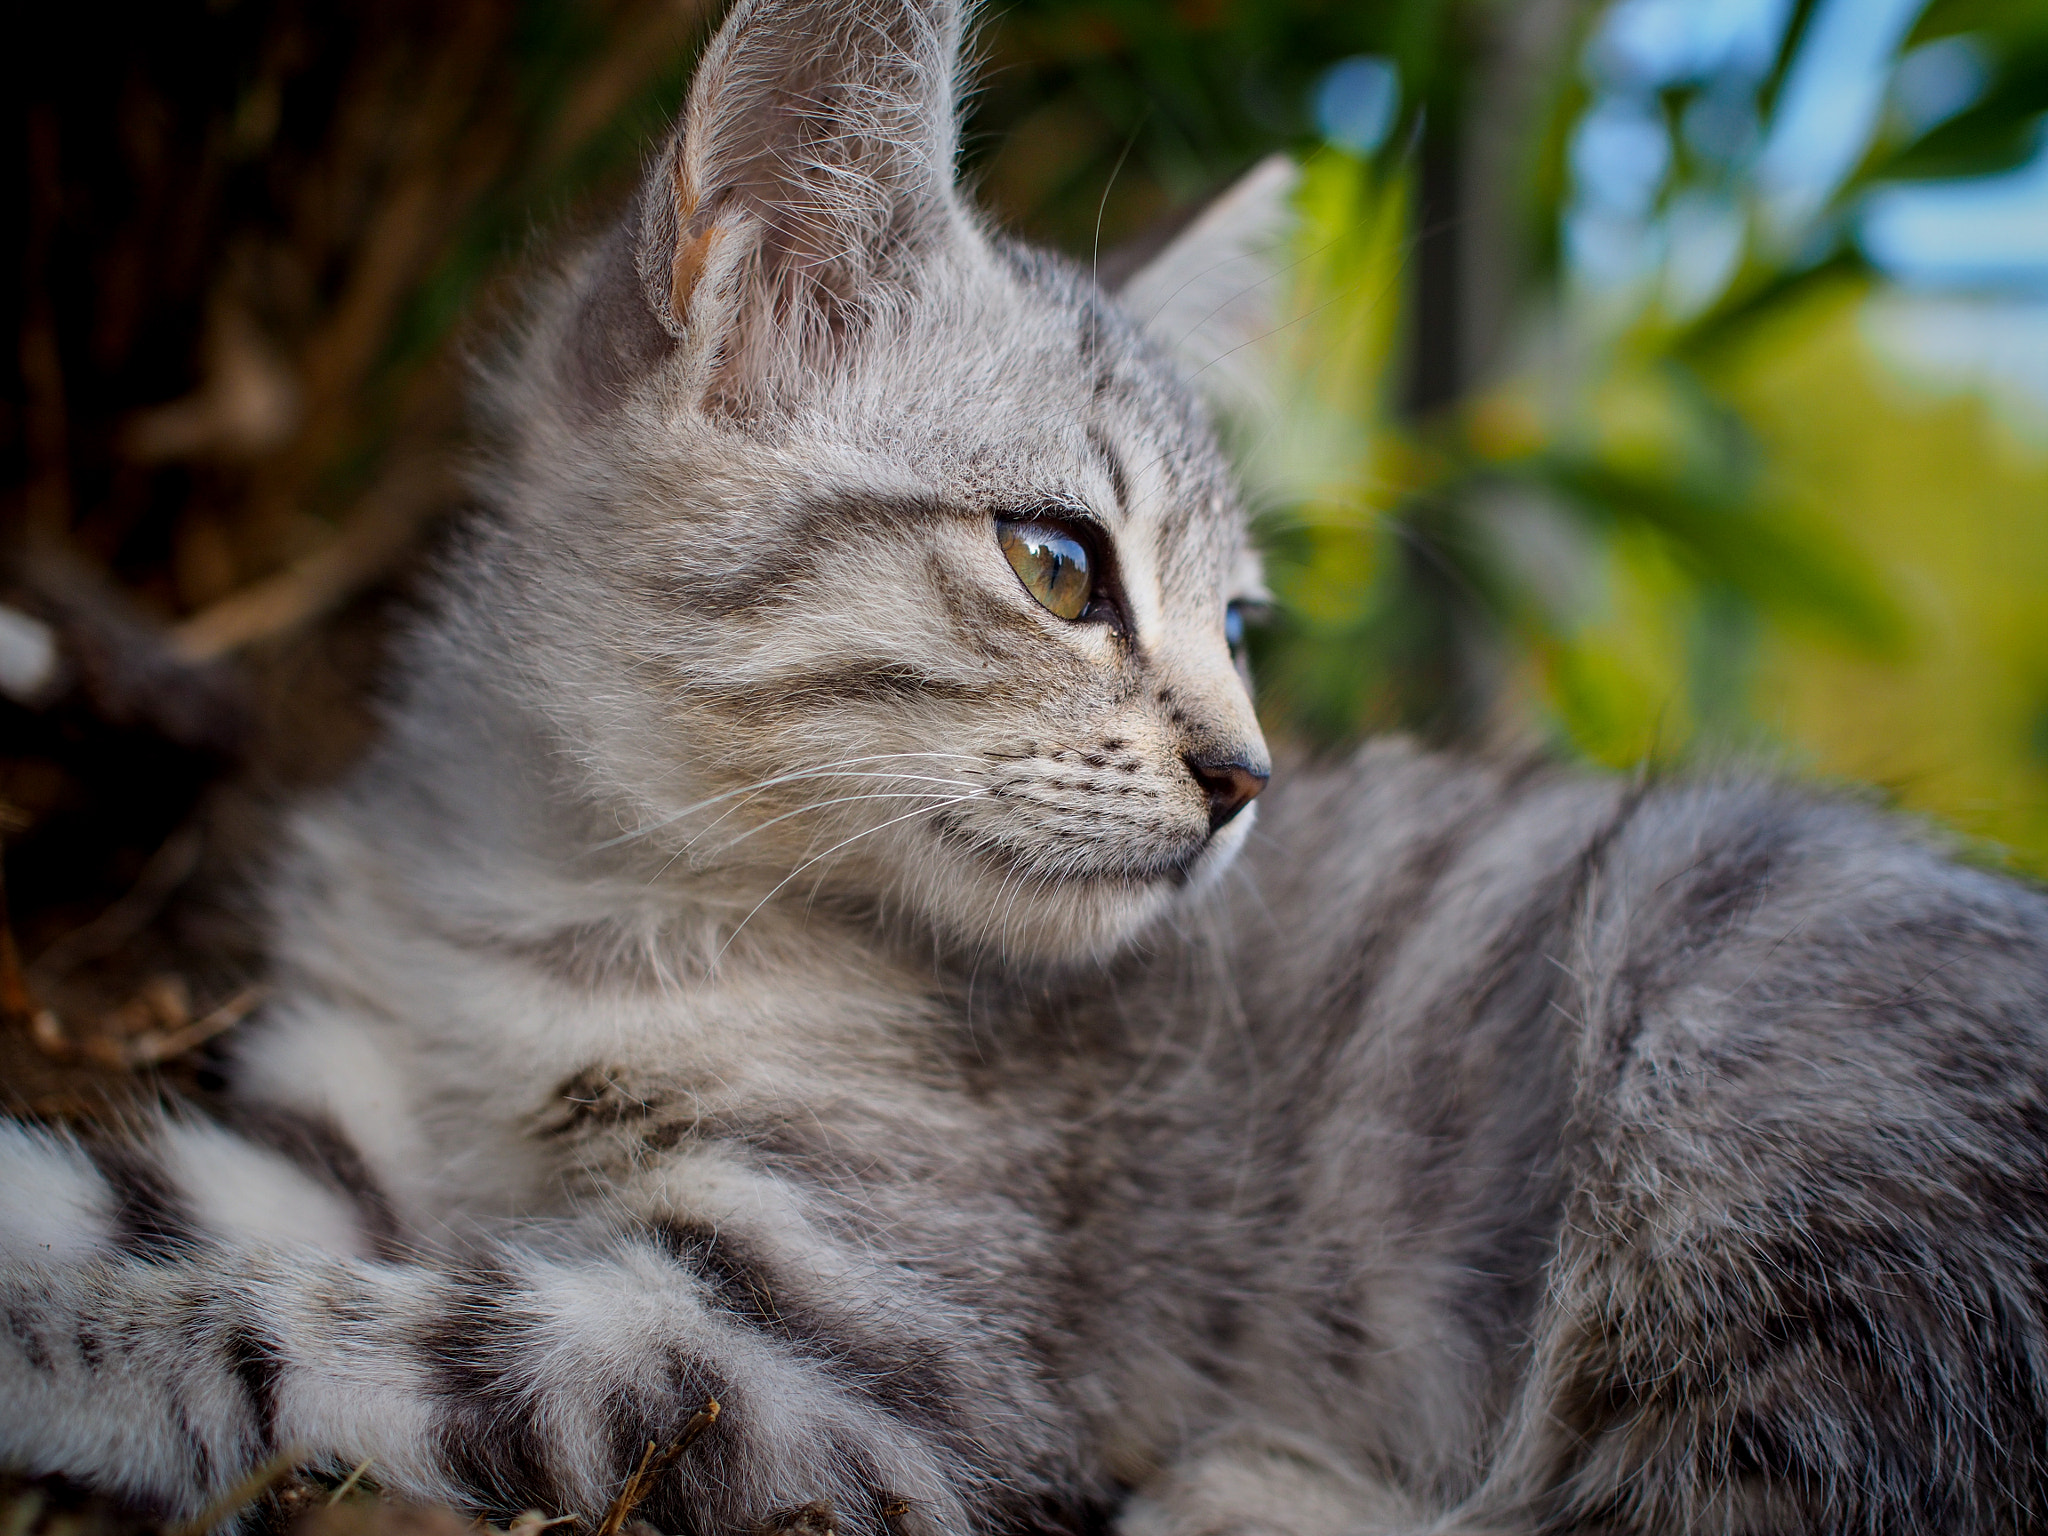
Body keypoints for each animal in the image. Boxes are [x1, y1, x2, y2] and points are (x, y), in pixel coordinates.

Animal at [4, 3, 2048, 1536]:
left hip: (1750, 1070)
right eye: (1061, 565)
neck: (555, 904)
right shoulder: (324, 1117)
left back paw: (1253, 1488)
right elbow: (164, 1211)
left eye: (1238, 625)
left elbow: (320, 1332)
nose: (1246, 777)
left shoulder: (830, 1362)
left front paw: (62, 1343)